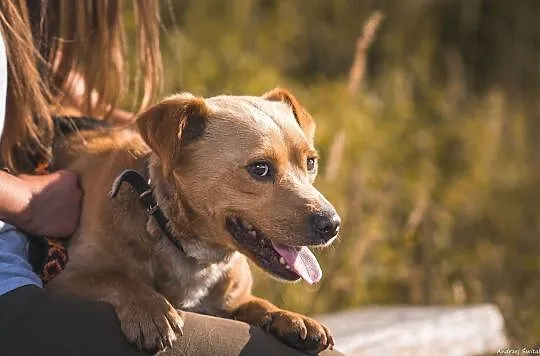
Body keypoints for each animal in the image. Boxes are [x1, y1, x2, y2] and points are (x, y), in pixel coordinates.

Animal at [47, 88, 342, 354]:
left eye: (311, 162)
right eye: (260, 169)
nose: (332, 225)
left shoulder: (232, 302)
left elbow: (257, 303)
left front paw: (288, 316)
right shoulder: (64, 279)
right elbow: (118, 279)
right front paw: (151, 309)